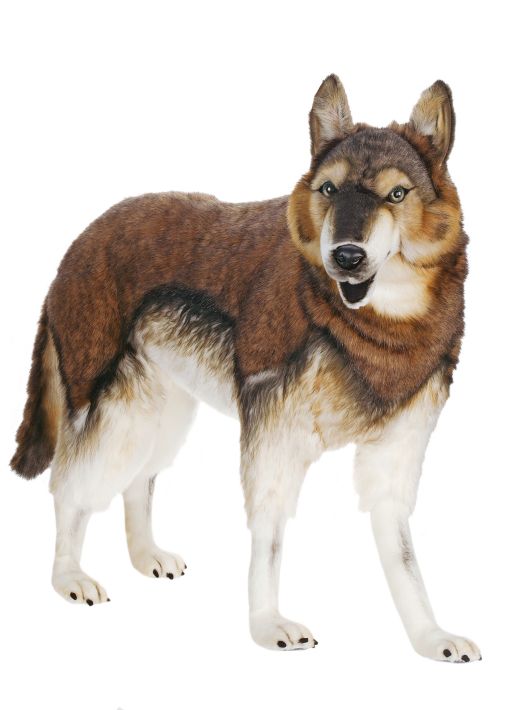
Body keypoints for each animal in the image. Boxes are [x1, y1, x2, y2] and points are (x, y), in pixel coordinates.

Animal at [11, 75, 480, 662]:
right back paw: (68, 576)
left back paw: (145, 556)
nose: (346, 257)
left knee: (139, 481)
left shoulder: (396, 452)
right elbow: (269, 538)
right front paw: (266, 624)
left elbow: (404, 559)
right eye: (329, 190)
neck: (378, 330)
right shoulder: (273, 439)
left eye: (397, 194)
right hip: (115, 417)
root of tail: (78, 242)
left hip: (162, 415)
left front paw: (429, 636)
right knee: (69, 490)